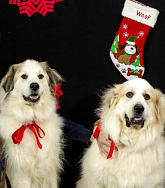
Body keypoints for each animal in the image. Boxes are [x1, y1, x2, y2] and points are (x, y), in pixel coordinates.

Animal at [0, 59, 63, 188]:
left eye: (41, 76)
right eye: (24, 76)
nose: (34, 85)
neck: (32, 122)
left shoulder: (50, 172)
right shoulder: (21, 175)